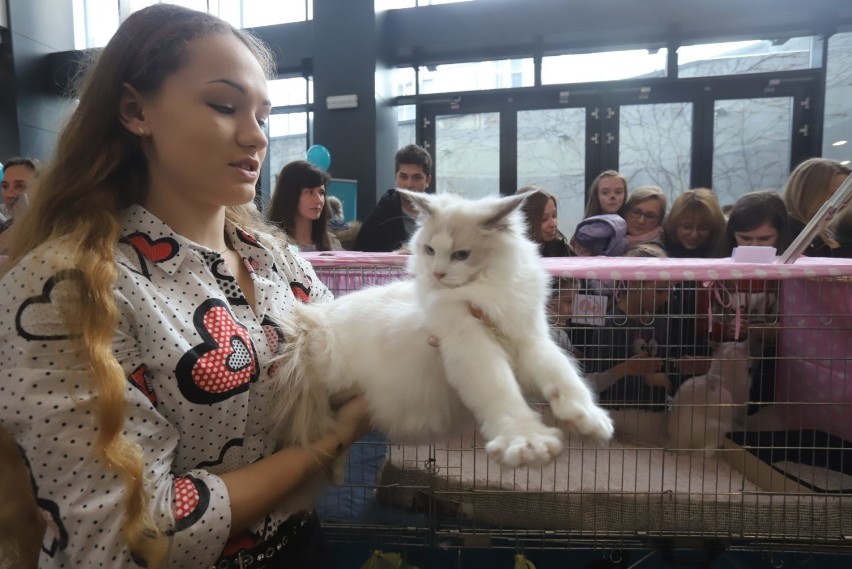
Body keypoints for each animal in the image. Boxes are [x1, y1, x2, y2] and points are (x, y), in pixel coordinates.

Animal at [272, 189, 612, 468]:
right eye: (430, 250)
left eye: (461, 255)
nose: (437, 273)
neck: (486, 289)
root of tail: (313, 324)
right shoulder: (470, 343)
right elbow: (501, 390)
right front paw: (527, 440)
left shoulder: (528, 338)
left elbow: (563, 376)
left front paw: (589, 420)